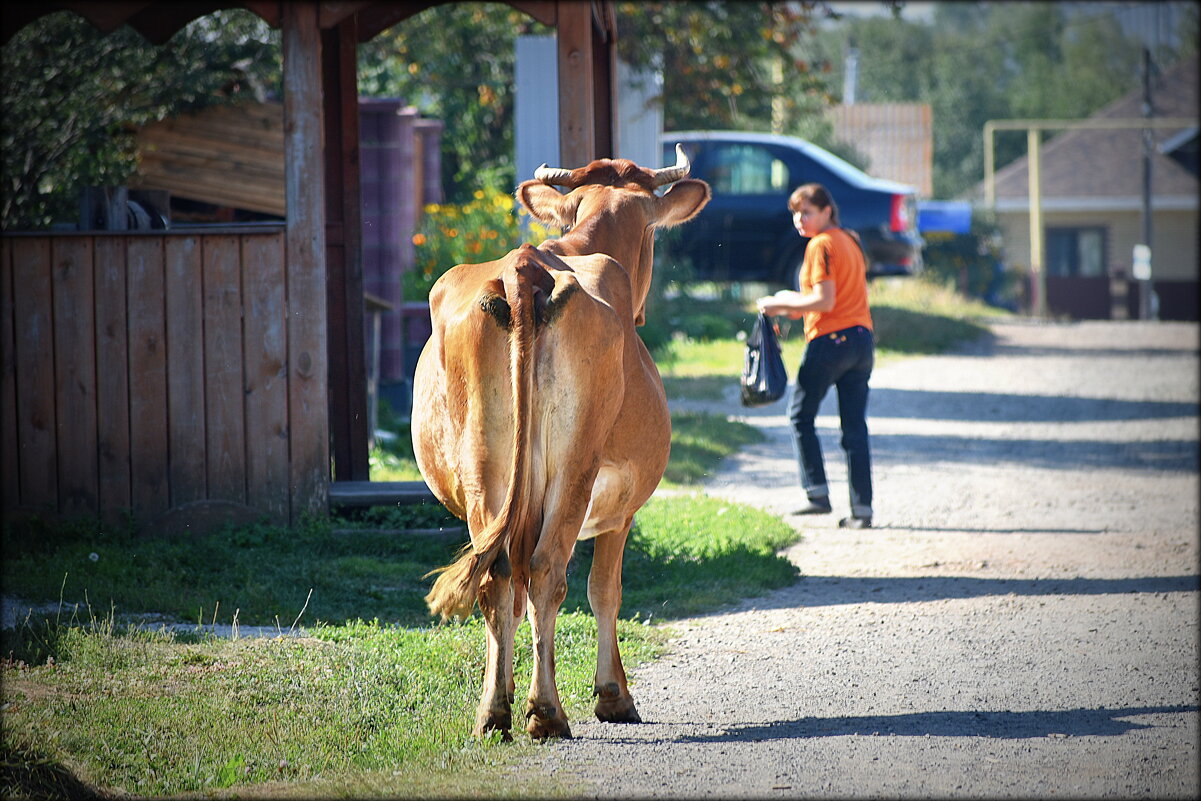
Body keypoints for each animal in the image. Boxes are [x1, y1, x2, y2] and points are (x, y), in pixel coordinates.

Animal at [413, 147, 710, 744]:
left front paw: (505, 690)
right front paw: (613, 695)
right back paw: (546, 712)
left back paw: (493, 714)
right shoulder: (621, 507)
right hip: (575, 468)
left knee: (499, 576)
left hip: (484, 469)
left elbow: (517, 597)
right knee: (549, 572)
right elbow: (605, 591)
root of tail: (525, 266)